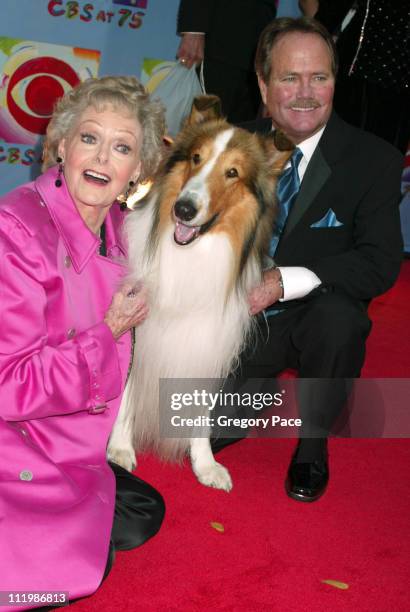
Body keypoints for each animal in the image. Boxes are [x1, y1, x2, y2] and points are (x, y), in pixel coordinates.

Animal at [107, 119, 294, 490]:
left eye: (232, 172)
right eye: (196, 158)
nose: (183, 209)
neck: (192, 253)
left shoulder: (207, 341)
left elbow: (200, 408)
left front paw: (205, 464)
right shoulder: (138, 331)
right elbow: (126, 395)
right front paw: (119, 448)